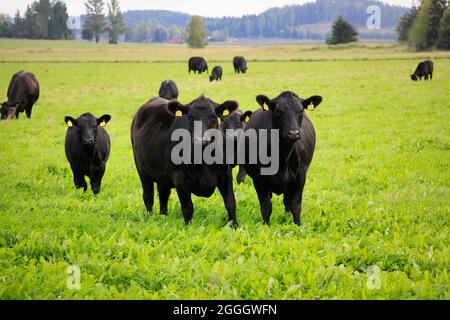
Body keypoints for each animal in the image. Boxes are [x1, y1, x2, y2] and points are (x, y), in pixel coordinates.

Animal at [131, 95, 239, 225]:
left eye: (214, 117)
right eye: (191, 117)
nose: (201, 139)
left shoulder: (225, 174)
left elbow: (230, 203)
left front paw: (235, 226)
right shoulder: (180, 178)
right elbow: (187, 207)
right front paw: (188, 226)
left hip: (162, 176)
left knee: (163, 194)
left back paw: (163, 216)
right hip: (142, 170)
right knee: (148, 195)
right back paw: (150, 217)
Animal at [243, 90, 324, 226]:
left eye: (300, 111)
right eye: (279, 112)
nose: (294, 133)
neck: (281, 157)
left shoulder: (300, 175)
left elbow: (295, 205)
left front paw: (297, 225)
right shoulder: (258, 178)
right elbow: (266, 206)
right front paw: (266, 226)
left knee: (287, 202)